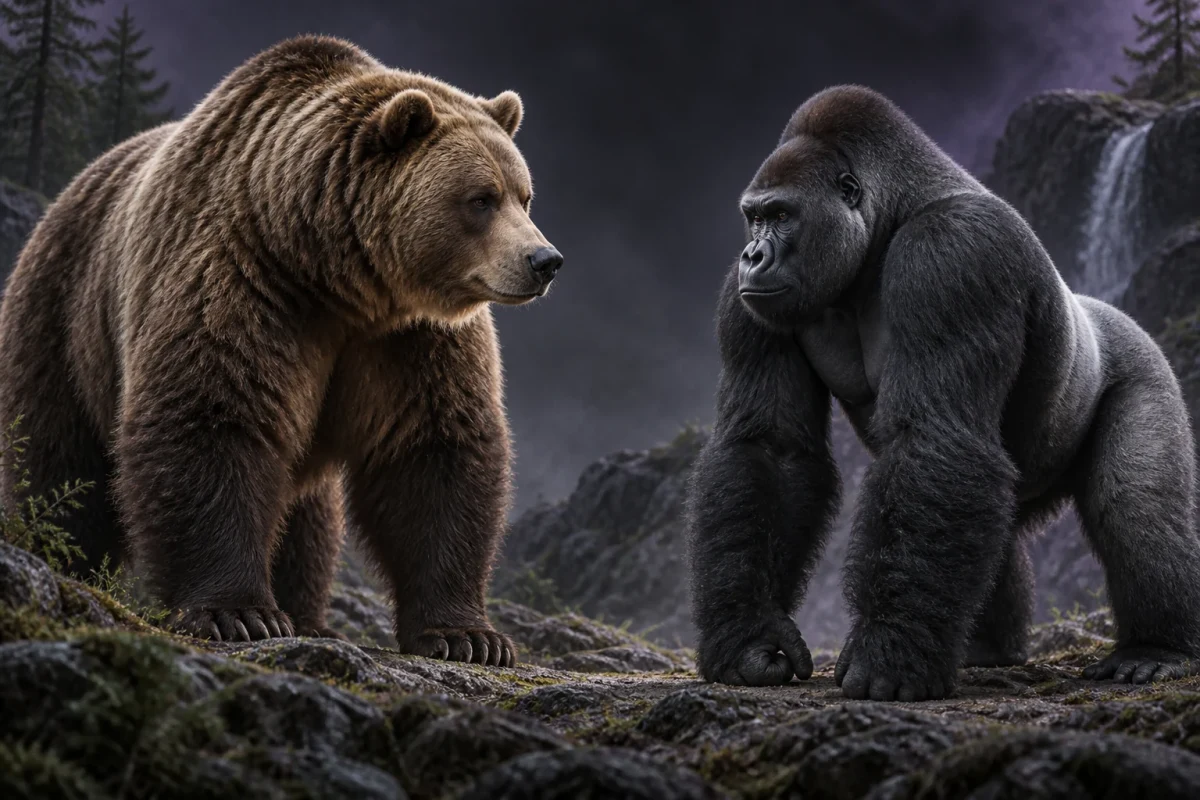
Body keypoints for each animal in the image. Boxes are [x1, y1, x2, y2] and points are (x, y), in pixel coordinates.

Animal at [0, 35, 565, 667]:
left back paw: (310, 616)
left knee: (309, 517)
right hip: (65, 316)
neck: (334, 275)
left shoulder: (411, 338)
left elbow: (432, 448)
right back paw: (61, 555)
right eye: (480, 199)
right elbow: (213, 418)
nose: (544, 260)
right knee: (60, 462)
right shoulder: (240, 282)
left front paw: (469, 637)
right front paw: (239, 614)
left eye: (524, 195)